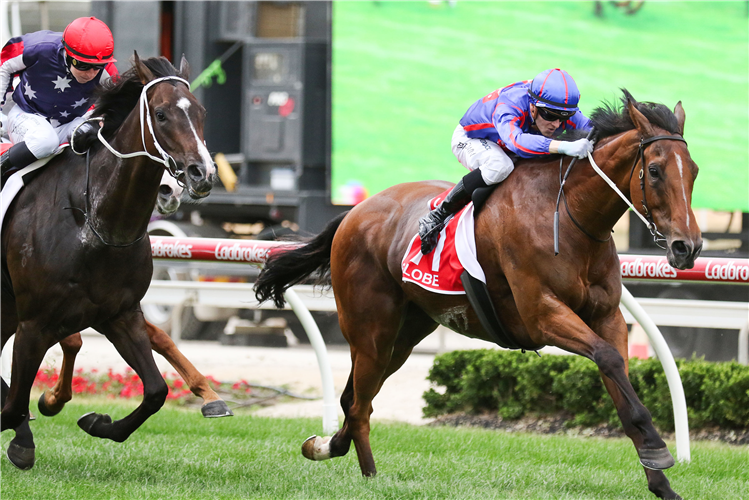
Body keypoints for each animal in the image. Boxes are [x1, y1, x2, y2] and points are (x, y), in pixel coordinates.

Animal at [0, 54, 213, 468]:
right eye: (161, 114)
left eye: (201, 112)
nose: (202, 173)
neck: (95, 222)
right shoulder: (33, 323)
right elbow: (15, 404)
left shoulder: (120, 314)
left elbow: (156, 391)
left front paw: (98, 422)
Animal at [256, 91, 700, 500]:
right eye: (655, 170)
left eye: (693, 171)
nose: (687, 247)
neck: (570, 215)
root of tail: (354, 212)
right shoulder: (542, 315)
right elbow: (607, 359)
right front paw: (658, 449)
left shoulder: (607, 317)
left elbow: (618, 378)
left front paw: (661, 481)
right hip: (370, 332)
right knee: (360, 405)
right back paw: (371, 478)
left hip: (405, 334)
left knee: (354, 397)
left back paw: (325, 446)